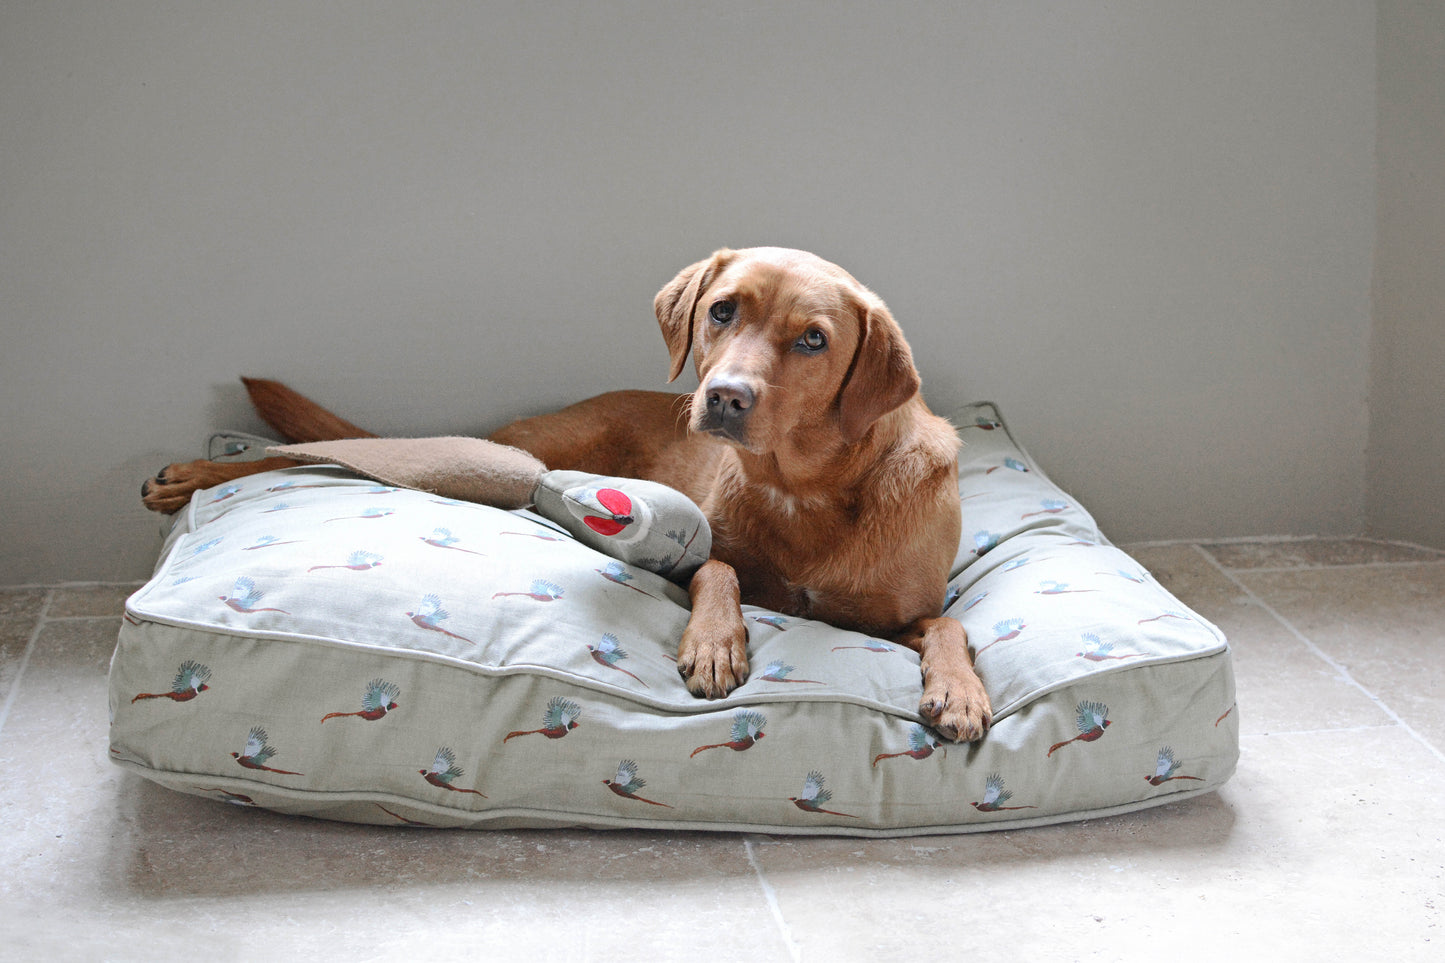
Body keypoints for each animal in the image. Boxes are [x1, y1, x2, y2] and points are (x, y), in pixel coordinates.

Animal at [143, 248, 994, 740]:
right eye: (722, 310)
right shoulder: (706, 562)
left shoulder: (897, 616)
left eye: (813, 339)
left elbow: (951, 623)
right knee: (342, 456)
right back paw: (190, 476)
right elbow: (720, 570)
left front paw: (959, 692)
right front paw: (716, 644)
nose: (723, 397)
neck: (804, 485)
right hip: (515, 457)